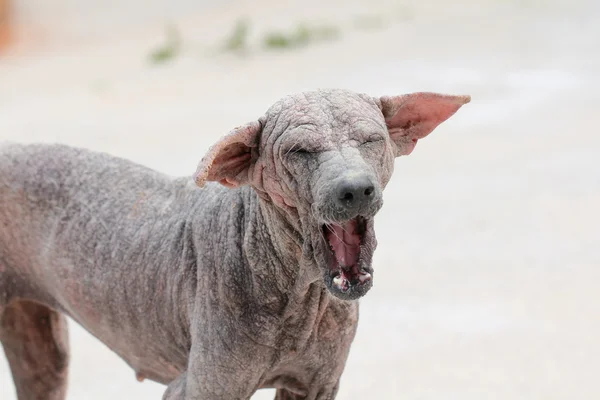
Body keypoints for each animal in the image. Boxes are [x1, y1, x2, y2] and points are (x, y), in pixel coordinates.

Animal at [0, 89, 468, 398]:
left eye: (372, 140)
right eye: (300, 151)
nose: (355, 189)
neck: (296, 294)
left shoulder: (316, 387)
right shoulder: (197, 388)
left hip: (43, 359)